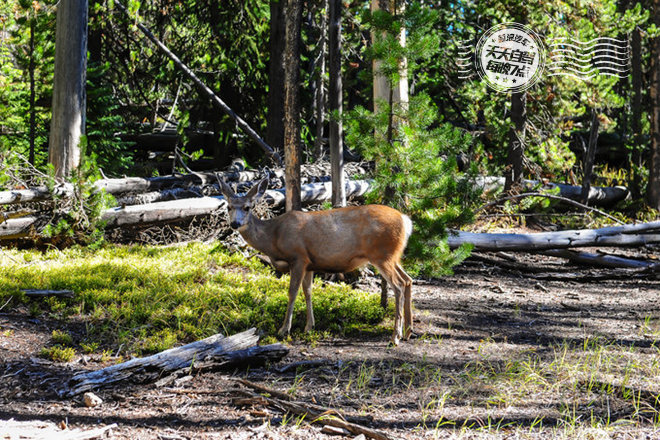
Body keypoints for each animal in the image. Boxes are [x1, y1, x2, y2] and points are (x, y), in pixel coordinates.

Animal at [222, 177, 416, 346]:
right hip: (393, 256)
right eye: (229, 207)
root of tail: (405, 221)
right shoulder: (309, 264)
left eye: (247, 207)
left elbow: (292, 292)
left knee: (398, 285)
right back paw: (407, 332)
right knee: (408, 280)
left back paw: (395, 337)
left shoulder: (298, 257)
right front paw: (309, 326)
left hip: (382, 255)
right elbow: (308, 292)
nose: (235, 224)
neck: (274, 237)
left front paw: (284, 330)